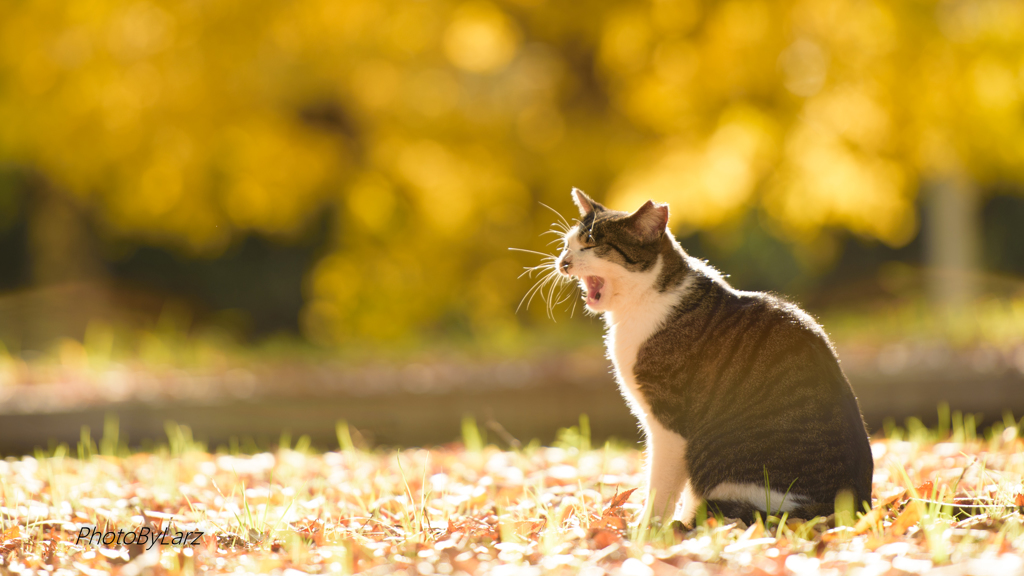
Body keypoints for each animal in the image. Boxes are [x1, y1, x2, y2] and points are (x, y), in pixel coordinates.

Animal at [552, 188, 872, 524]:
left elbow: (661, 487)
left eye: (592, 244)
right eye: (567, 244)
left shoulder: (669, 424)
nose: (563, 262)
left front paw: (648, 529)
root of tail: (850, 505)